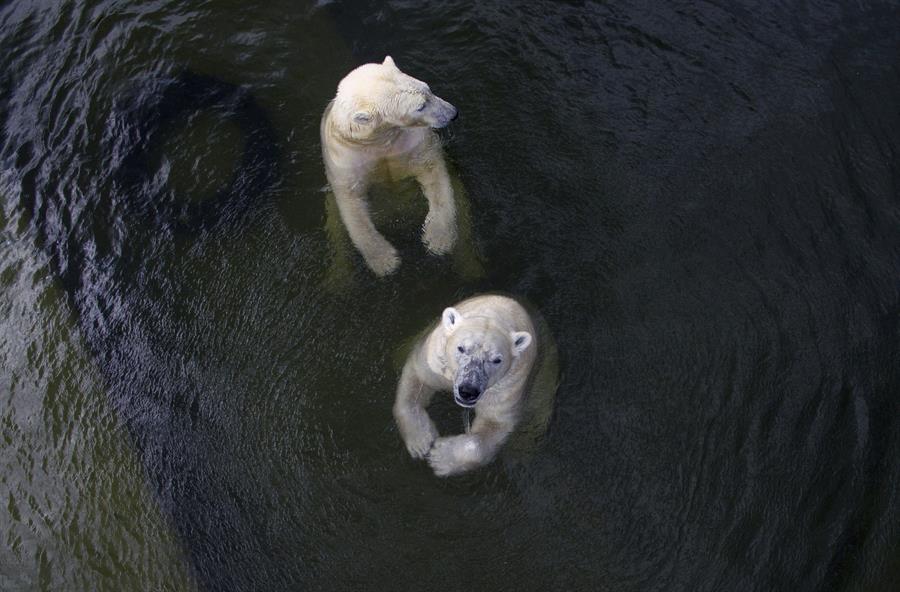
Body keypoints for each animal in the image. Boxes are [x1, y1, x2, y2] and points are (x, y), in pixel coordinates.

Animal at [322, 56, 460, 276]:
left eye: (428, 89)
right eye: (420, 106)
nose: (453, 113)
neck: (380, 140)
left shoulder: (414, 143)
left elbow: (434, 174)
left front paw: (438, 238)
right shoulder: (345, 161)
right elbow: (352, 205)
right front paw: (385, 261)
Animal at [392, 294, 536, 476]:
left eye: (497, 360)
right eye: (461, 348)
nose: (468, 391)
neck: (495, 314)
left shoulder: (509, 385)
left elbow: (494, 423)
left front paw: (440, 456)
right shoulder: (435, 358)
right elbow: (417, 380)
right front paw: (421, 442)